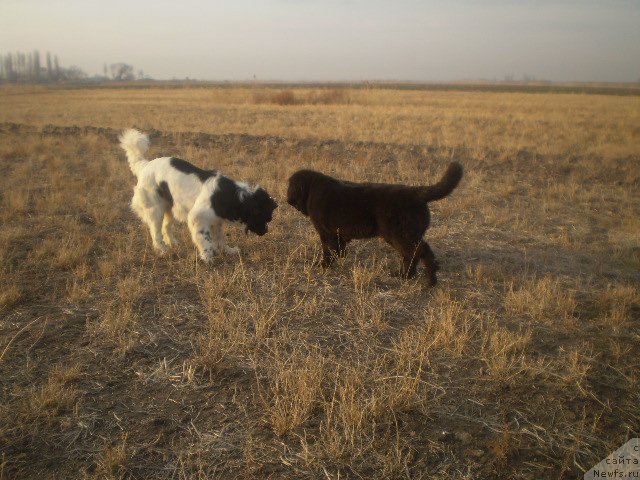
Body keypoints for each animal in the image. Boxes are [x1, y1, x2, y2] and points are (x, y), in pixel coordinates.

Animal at [119, 128, 278, 262]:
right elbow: (205, 240)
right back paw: (163, 250)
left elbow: (220, 238)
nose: (265, 231)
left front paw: (228, 251)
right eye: (265, 218)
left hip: (171, 207)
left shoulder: (216, 220)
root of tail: (144, 165)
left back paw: (173, 243)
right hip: (155, 210)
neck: (232, 197)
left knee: (166, 227)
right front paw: (208, 257)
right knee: (156, 233)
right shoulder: (198, 218)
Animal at [288, 164, 462, 284]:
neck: (311, 188)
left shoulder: (325, 232)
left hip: (401, 236)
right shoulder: (337, 235)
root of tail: (416, 193)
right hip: (406, 236)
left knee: (419, 253)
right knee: (414, 254)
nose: (288, 200)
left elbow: (327, 250)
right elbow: (338, 249)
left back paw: (428, 280)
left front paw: (323, 264)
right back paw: (405, 275)